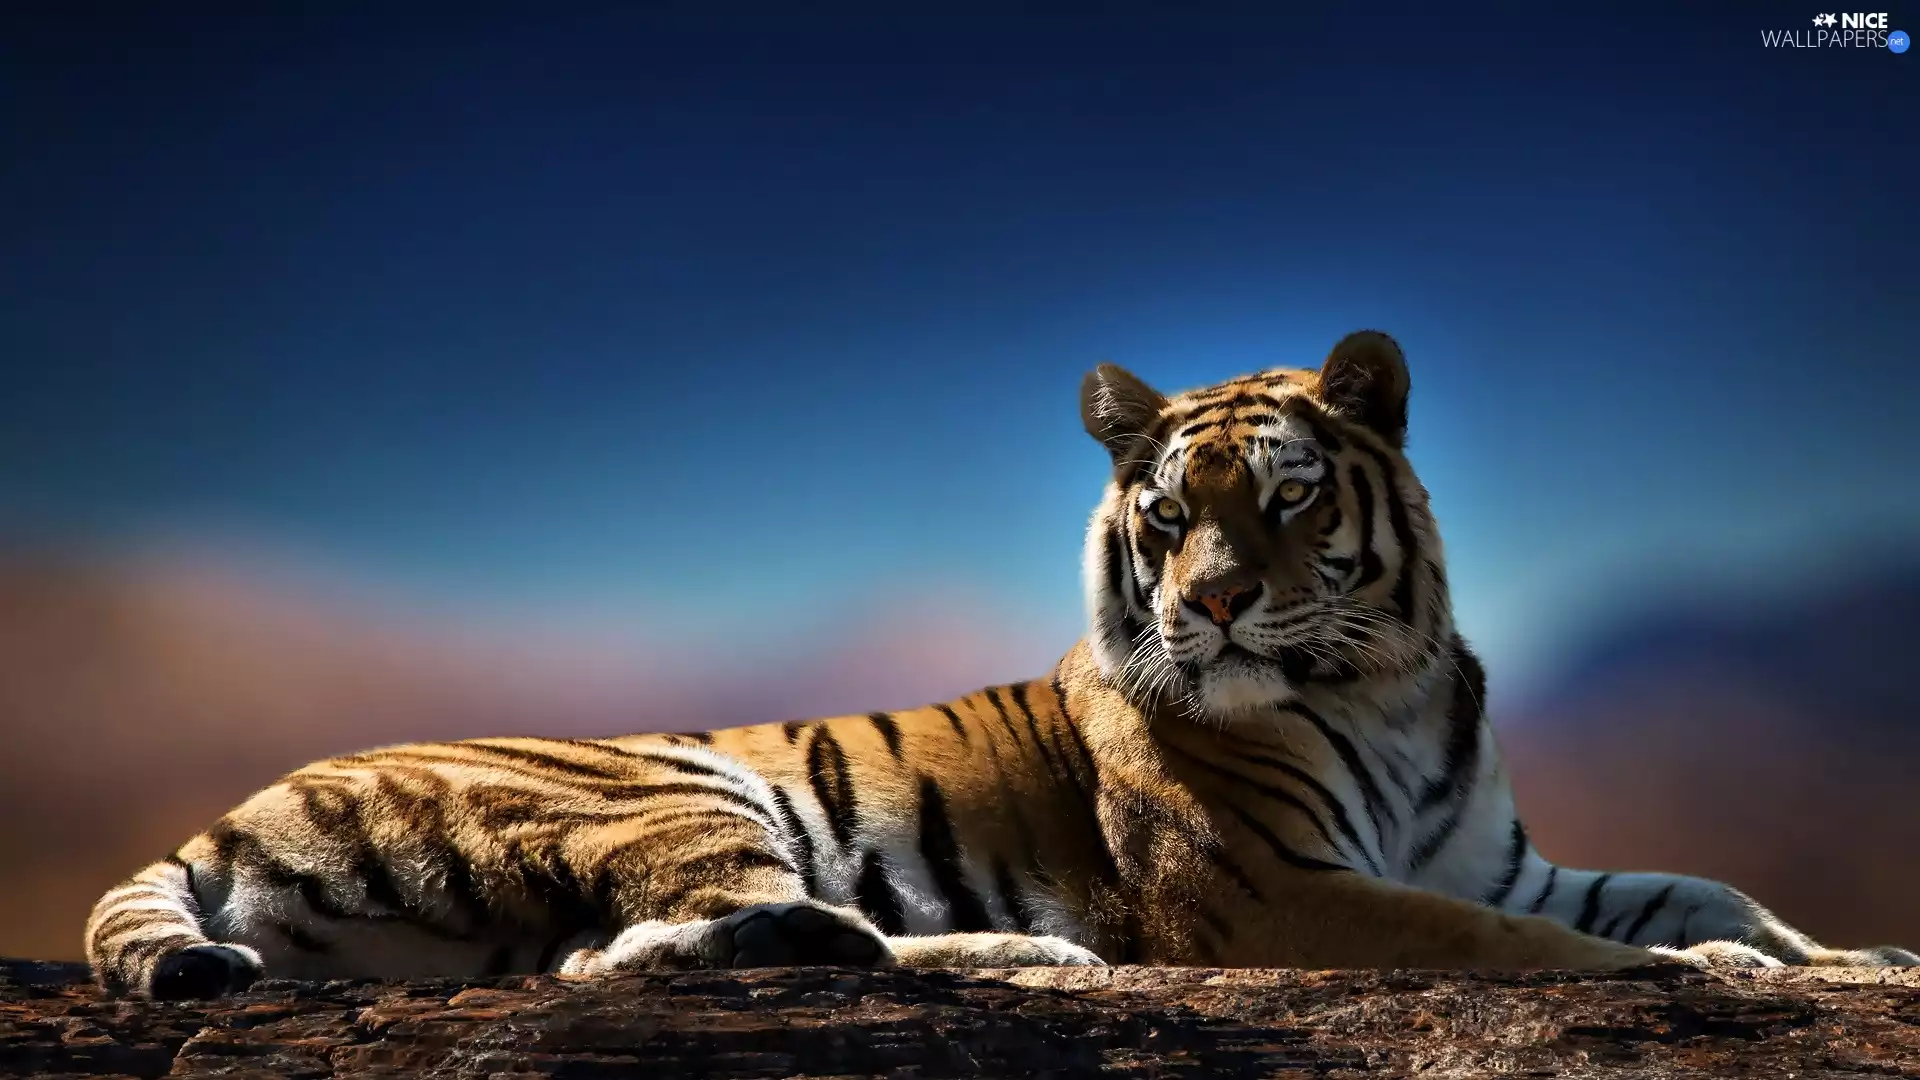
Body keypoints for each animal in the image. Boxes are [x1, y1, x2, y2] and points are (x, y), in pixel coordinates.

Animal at [86, 329, 1917, 1000]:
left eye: (1285, 499)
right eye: (1168, 513)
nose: (1213, 610)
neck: (1384, 684)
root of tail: (229, 815)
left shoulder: (1498, 855)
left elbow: (1700, 889)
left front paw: (1851, 959)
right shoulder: (1274, 891)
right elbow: (1533, 945)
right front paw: (1719, 981)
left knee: (625, 958)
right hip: (673, 780)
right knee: (664, 946)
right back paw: (1037, 959)